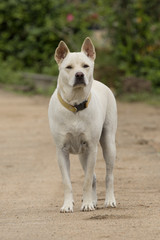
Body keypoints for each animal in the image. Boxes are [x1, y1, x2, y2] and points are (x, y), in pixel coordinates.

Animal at [48, 37, 117, 212]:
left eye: (86, 66)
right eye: (68, 67)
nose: (79, 75)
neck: (75, 105)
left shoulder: (92, 148)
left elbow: (86, 181)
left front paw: (86, 204)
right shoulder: (61, 151)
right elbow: (67, 182)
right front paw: (67, 205)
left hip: (108, 144)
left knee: (108, 175)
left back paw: (109, 200)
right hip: (82, 155)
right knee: (93, 177)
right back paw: (94, 201)